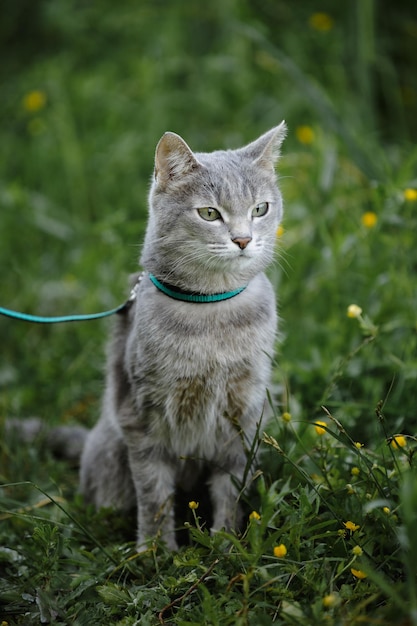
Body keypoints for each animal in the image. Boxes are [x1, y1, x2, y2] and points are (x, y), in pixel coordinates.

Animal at [79, 123, 286, 552]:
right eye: (209, 213)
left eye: (260, 209)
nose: (243, 240)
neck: (212, 314)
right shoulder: (141, 415)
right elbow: (154, 493)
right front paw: (157, 553)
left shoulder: (244, 413)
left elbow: (231, 488)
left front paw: (226, 545)